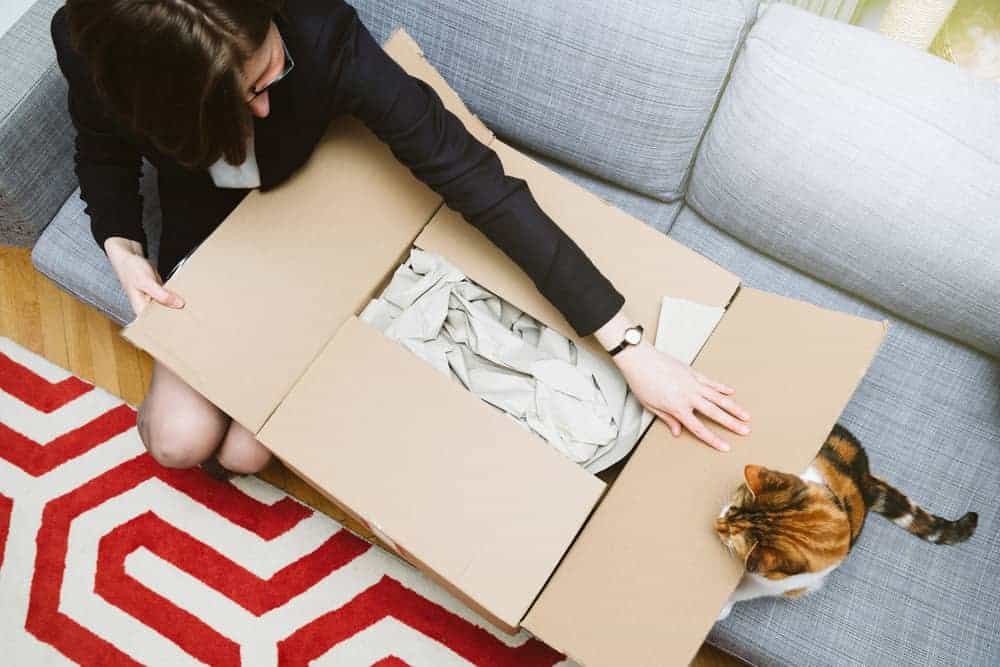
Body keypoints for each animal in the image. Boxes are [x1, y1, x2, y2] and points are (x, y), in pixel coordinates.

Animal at [716, 422, 980, 620]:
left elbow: (746, 592)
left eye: (732, 540)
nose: (717, 525)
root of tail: (865, 479)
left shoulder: (787, 585)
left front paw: (724, 607)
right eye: (733, 507)